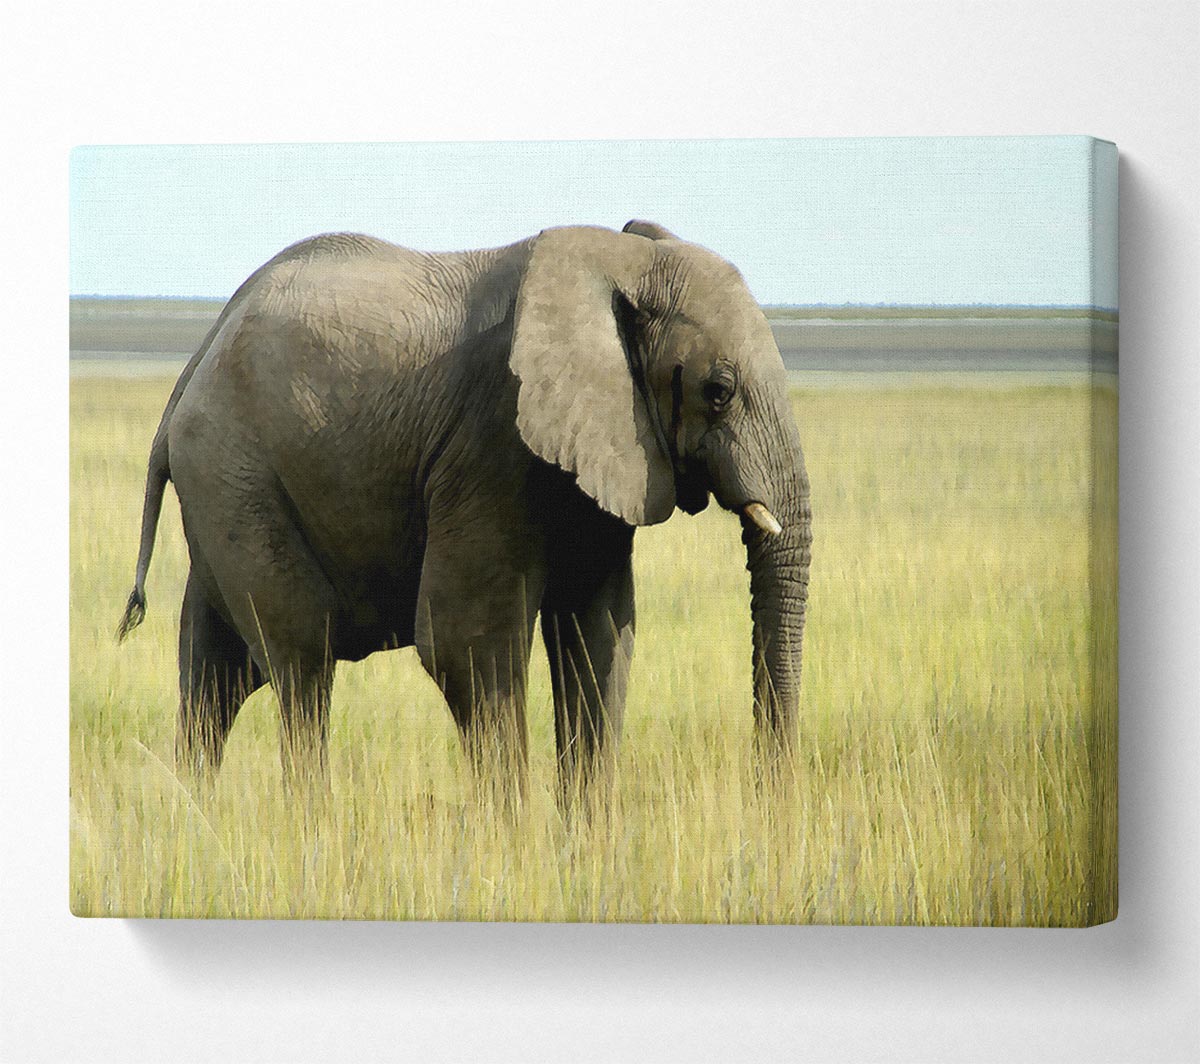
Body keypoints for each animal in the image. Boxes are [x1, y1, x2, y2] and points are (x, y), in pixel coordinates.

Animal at [118, 219, 812, 804]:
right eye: (717, 392)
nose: (767, 797)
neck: (619, 260)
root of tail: (193, 363)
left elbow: (600, 637)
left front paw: (585, 852)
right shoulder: (493, 442)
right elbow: (469, 647)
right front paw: (515, 848)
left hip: (224, 487)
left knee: (216, 672)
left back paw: (195, 820)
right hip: (235, 474)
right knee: (301, 661)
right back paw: (309, 826)